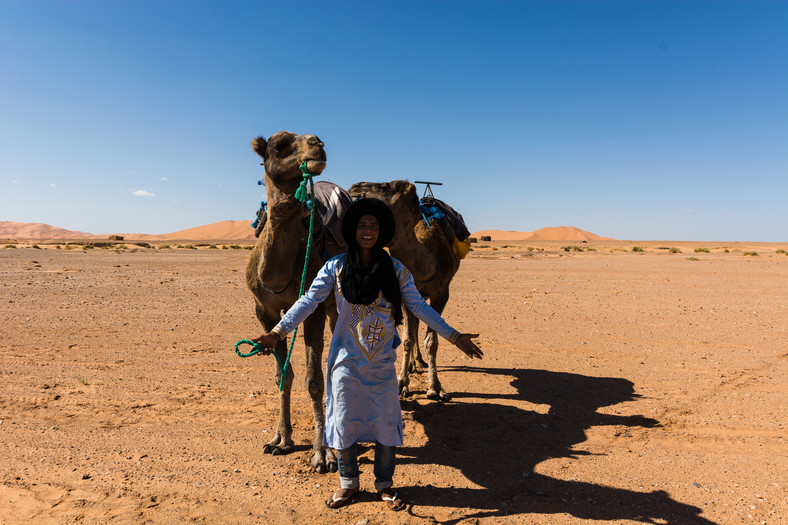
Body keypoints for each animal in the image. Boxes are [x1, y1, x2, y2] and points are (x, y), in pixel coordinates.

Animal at [246, 130, 342, 470]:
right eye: (279, 146)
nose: (318, 145)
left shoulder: (314, 307)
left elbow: (314, 380)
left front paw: (323, 453)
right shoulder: (265, 310)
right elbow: (282, 375)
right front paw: (281, 440)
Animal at [350, 178, 462, 400]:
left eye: (383, 186)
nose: (353, 188)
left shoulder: (441, 293)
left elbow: (432, 341)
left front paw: (435, 387)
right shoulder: (404, 293)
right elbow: (407, 338)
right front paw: (402, 383)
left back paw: (418, 362)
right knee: (415, 323)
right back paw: (412, 364)